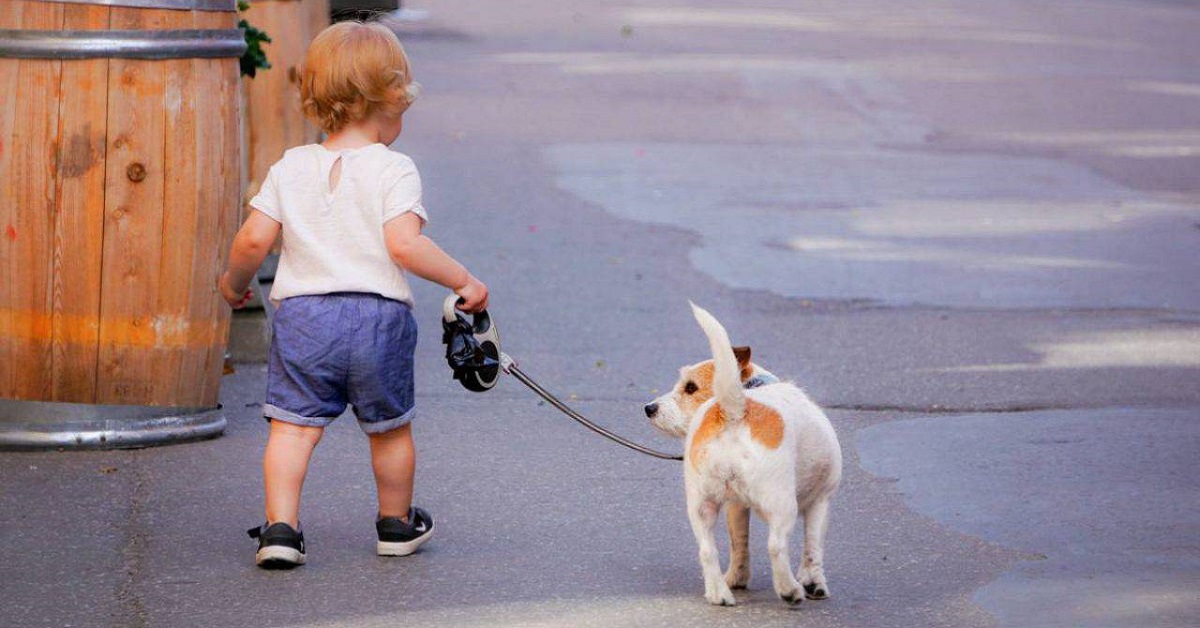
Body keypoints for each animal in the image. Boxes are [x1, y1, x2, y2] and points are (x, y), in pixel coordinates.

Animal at [648, 304, 844, 609]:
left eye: (690, 387)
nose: (649, 408)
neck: (753, 386)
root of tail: (734, 410)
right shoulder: (820, 501)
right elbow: (813, 547)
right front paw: (814, 583)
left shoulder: (736, 507)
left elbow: (738, 542)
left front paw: (737, 578)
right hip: (783, 504)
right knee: (776, 546)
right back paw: (789, 589)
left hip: (701, 506)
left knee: (707, 551)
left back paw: (719, 593)